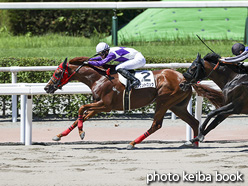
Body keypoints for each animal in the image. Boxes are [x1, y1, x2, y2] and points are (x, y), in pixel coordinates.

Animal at [43, 56, 222, 149]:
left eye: (57, 72)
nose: (46, 87)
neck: (99, 78)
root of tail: (185, 79)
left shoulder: (106, 105)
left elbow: (81, 108)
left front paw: (81, 133)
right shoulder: (99, 106)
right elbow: (81, 116)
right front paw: (59, 135)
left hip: (164, 101)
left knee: (156, 124)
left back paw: (132, 143)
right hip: (177, 106)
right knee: (194, 121)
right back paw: (195, 143)